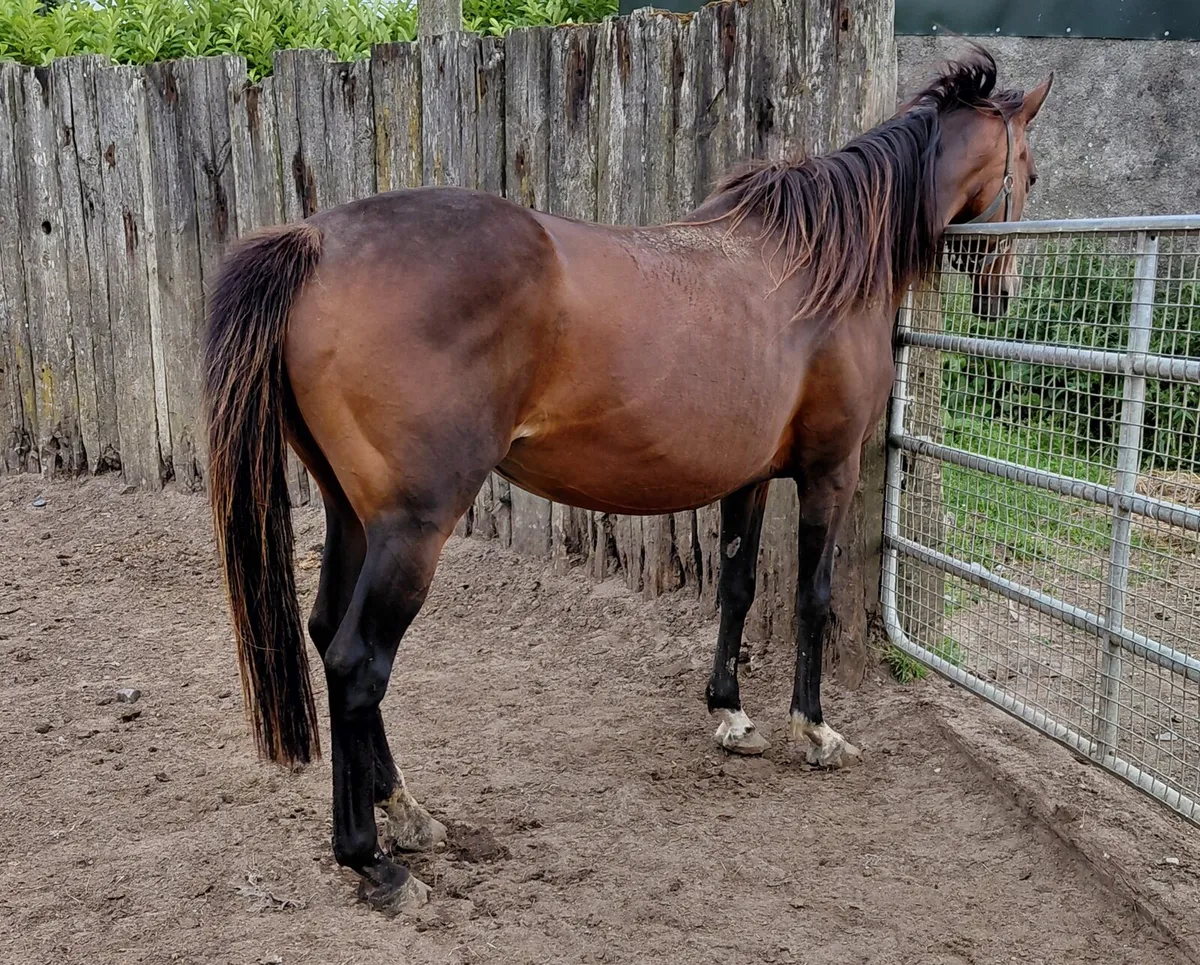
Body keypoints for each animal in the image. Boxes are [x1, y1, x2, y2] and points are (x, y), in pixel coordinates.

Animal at [203, 45, 1052, 911]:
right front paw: (813, 729)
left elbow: (737, 586)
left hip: (353, 515)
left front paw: (730, 715)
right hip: (412, 528)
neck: (821, 260)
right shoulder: (829, 471)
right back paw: (372, 857)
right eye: (1030, 169)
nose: (1007, 293)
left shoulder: (748, 477)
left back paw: (406, 810)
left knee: (323, 633)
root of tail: (314, 240)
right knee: (355, 663)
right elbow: (811, 598)